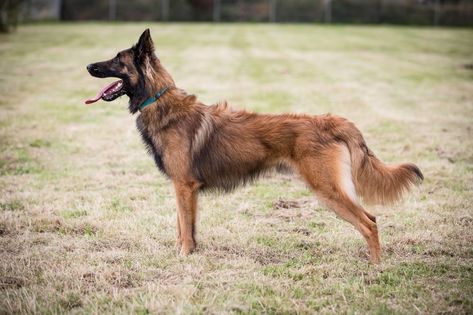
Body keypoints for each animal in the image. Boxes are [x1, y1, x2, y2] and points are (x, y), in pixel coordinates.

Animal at [86, 29, 422, 264]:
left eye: (117, 60)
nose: (89, 65)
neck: (159, 100)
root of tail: (334, 121)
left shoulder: (183, 186)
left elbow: (184, 227)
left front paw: (183, 257)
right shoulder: (185, 190)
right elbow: (185, 227)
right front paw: (187, 253)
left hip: (328, 191)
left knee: (369, 223)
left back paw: (375, 268)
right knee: (372, 220)